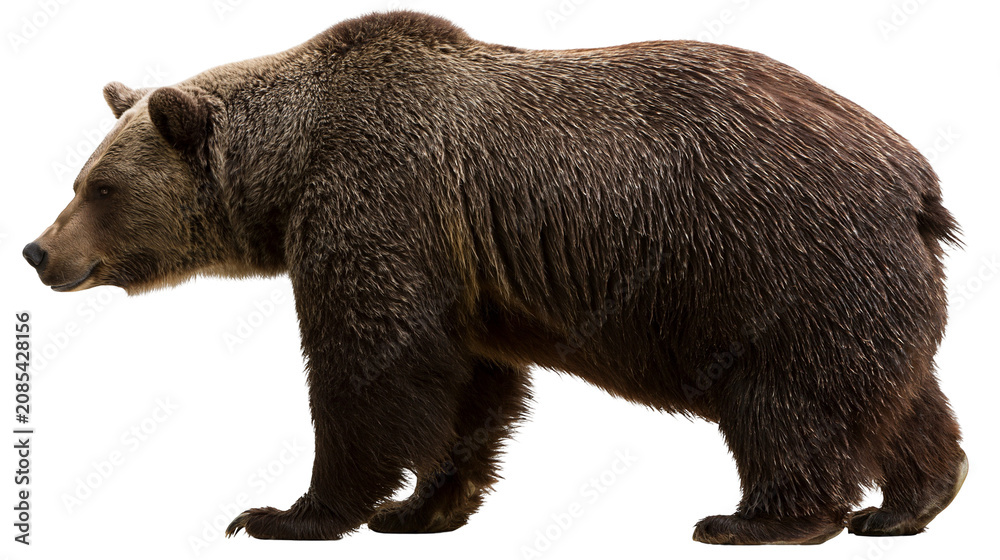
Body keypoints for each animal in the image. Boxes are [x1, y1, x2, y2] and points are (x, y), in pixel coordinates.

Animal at [23, 11, 966, 545]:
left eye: (100, 188)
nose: (37, 251)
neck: (293, 167)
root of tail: (915, 179)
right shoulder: (461, 273)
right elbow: (470, 389)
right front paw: (423, 507)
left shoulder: (379, 202)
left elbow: (369, 369)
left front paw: (288, 512)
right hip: (862, 283)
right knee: (902, 396)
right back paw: (908, 503)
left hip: (773, 265)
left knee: (789, 402)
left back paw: (755, 519)